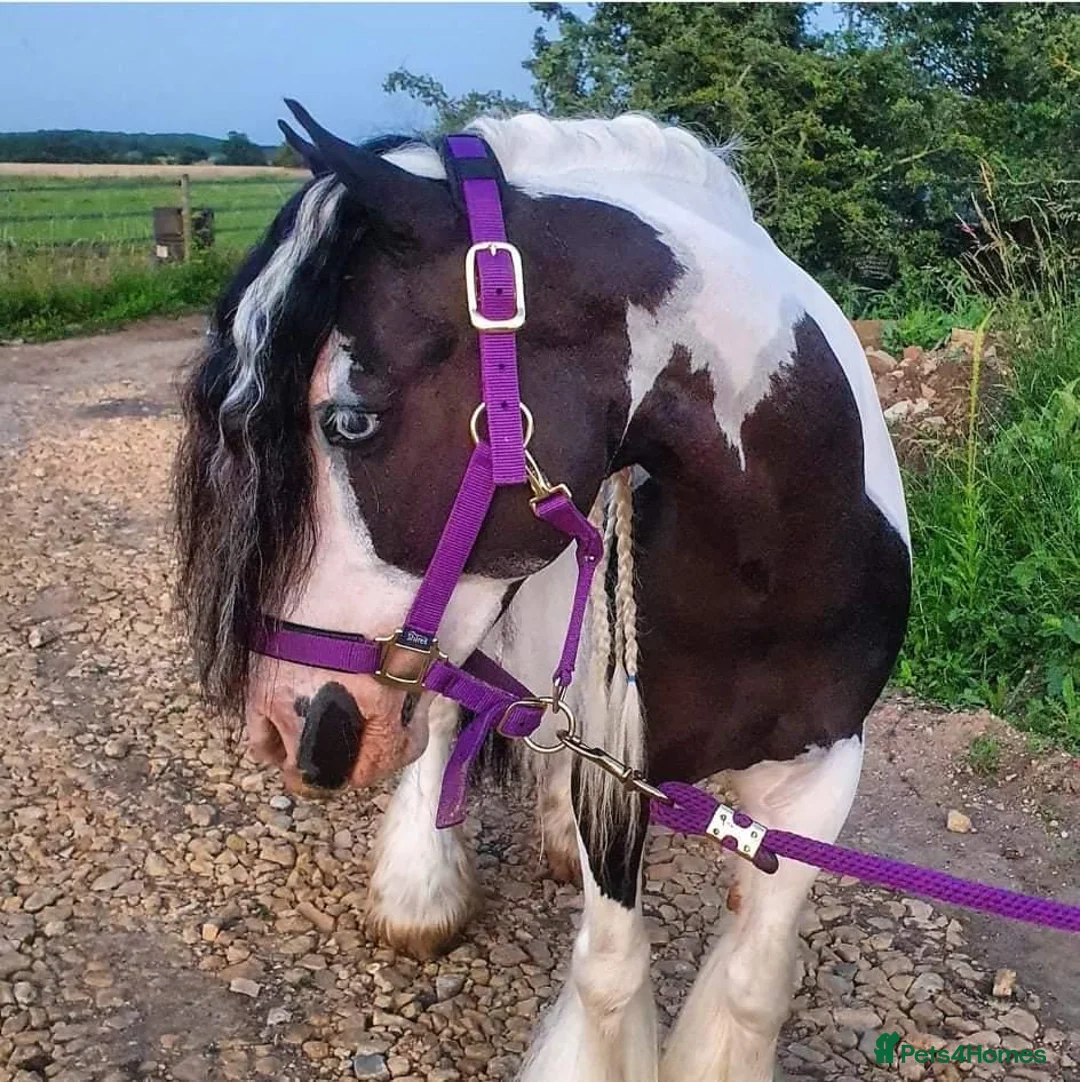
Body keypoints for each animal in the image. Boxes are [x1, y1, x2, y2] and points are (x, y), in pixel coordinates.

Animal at [174, 104, 911, 1082]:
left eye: (349, 421)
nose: (283, 725)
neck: (764, 576)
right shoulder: (624, 776)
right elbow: (611, 970)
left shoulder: (821, 775)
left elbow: (755, 984)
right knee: (444, 721)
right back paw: (420, 895)